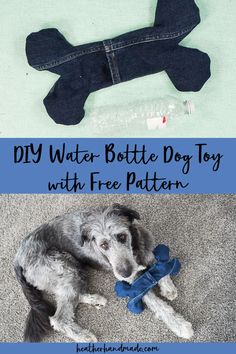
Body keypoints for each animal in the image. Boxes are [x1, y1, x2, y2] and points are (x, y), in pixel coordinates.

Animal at [13, 203, 193, 342]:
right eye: (103, 245)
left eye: (122, 236)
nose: (125, 272)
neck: (135, 251)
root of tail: (18, 259)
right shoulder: (135, 284)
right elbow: (158, 305)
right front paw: (179, 325)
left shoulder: (149, 250)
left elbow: (160, 268)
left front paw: (168, 288)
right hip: (64, 266)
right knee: (58, 318)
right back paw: (85, 336)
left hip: (73, 269)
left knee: (72, 296)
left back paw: (95, 300)